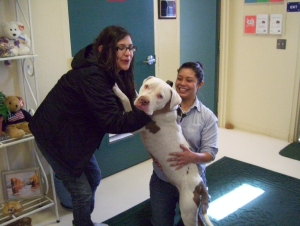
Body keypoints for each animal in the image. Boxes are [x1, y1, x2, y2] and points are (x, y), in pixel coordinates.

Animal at [112, 76, 213, 226]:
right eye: (147, 86)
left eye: (160, 96)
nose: (144, 100)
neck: (165, 110)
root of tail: (200, 185)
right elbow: (133, 96)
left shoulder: (134, 124)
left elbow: (125, 99)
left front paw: (117, 89)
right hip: (194, 209)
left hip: (187, 210)